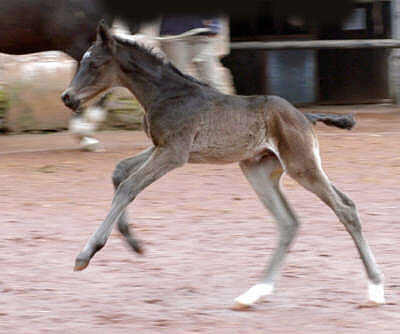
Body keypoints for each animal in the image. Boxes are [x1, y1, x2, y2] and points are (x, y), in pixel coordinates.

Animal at [61, 20, 384, 308]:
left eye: (94, 63)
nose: (67, 98)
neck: (168, 94)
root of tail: (305, 116)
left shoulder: (174, 153)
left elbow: (128, 186)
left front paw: (85, 255)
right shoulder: (161, 147)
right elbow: (120, 172)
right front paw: (134, 242)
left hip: (301, 165)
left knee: (345, 208)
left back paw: (375, 289)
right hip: (259, 170)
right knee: (289, 221)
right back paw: (254, 293)